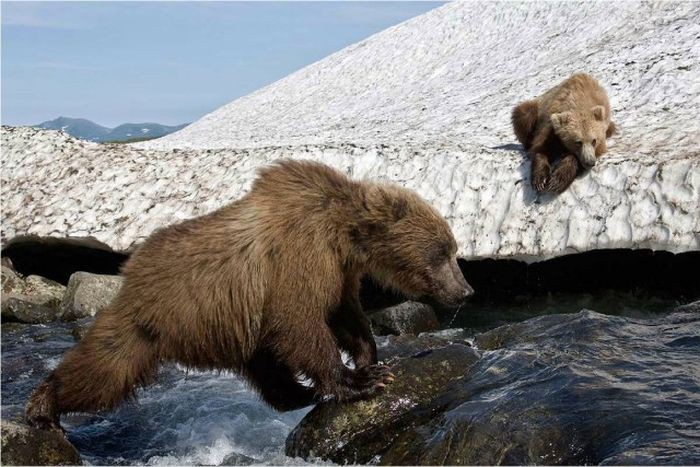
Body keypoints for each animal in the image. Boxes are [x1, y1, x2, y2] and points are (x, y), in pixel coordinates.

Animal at [27, 159, 476, 430]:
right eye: (444, 251)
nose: (466, 290)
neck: (344, 235)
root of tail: (128, 269)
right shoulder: (299, 255)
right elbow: (299, 321)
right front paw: (359, 381)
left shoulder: (338, 271)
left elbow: (343, 313)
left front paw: (370, 359)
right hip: (155, 317)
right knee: (105, 368)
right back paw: (44, 403)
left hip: (232, 326)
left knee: (266, 369)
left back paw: (298, 394)